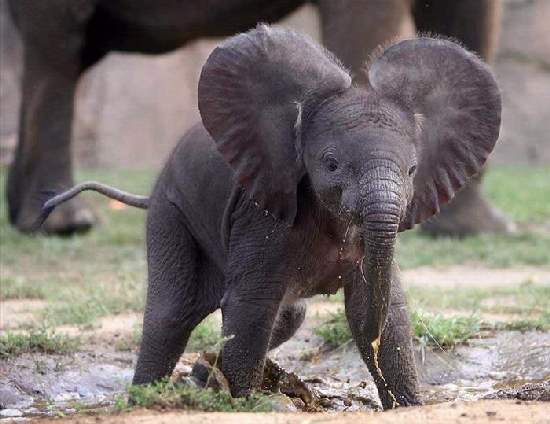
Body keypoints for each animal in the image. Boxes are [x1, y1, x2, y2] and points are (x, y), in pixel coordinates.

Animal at [41, 25, 502, 408]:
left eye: (411, 171)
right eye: (331, 164)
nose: (369, 349)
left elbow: (385, 310)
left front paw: (408, 406)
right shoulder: (261, 213)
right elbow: (250, 306)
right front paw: (242, 404)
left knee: (290, 315)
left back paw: (200, 376)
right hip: (171, 213)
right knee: (171, 314)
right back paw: (146, 399)